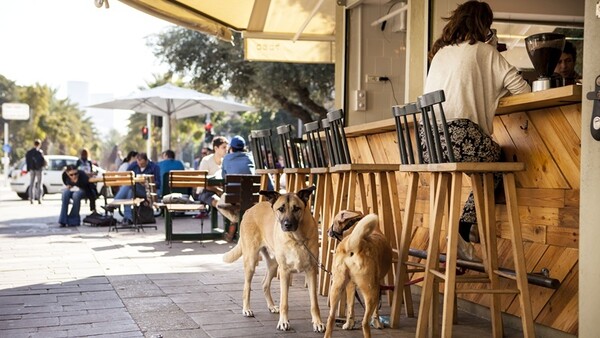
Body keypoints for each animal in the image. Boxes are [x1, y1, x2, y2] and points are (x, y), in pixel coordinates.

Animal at [221, 186, 324, 332]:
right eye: (280, 209)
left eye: (296, 208)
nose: (287, 224)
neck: (296, 238)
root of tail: (249, 209)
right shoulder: (285, 272)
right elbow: (284, 302)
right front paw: (283, 322)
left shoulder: (311, 271)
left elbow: (314, 303)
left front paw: (317, 322)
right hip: (252, 261)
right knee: (247, 287)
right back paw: (246, 309)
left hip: (273, 265)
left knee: (264, 284)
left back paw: (271, 306)